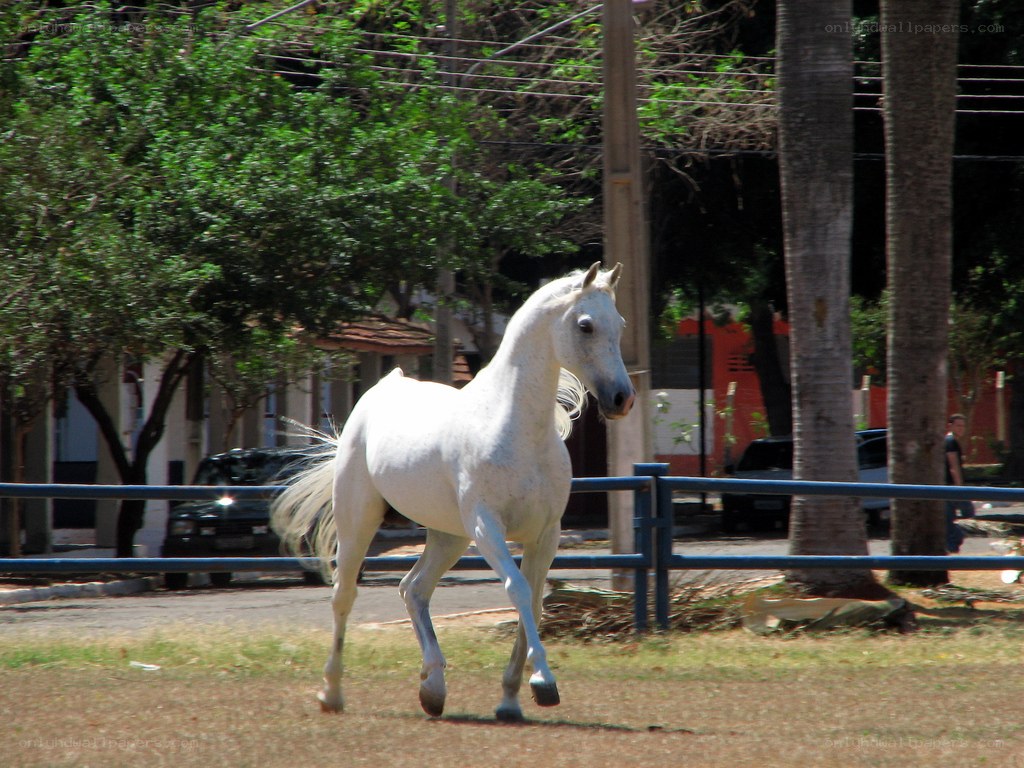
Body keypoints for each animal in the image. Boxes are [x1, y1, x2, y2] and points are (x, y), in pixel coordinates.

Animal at [270, 262, 635, 722]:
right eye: (585, 325)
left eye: (619, 324)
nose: (621, 399)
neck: (512, 427)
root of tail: (383, 387)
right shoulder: (486, 527)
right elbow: (517, 589)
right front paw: (542, 681)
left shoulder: (546, 533)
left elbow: (534, 602)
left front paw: (511, 698)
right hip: (360, 523)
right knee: (344, 596)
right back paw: (332, 694)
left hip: (448, 536)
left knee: (413, 589)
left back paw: (433, 688)